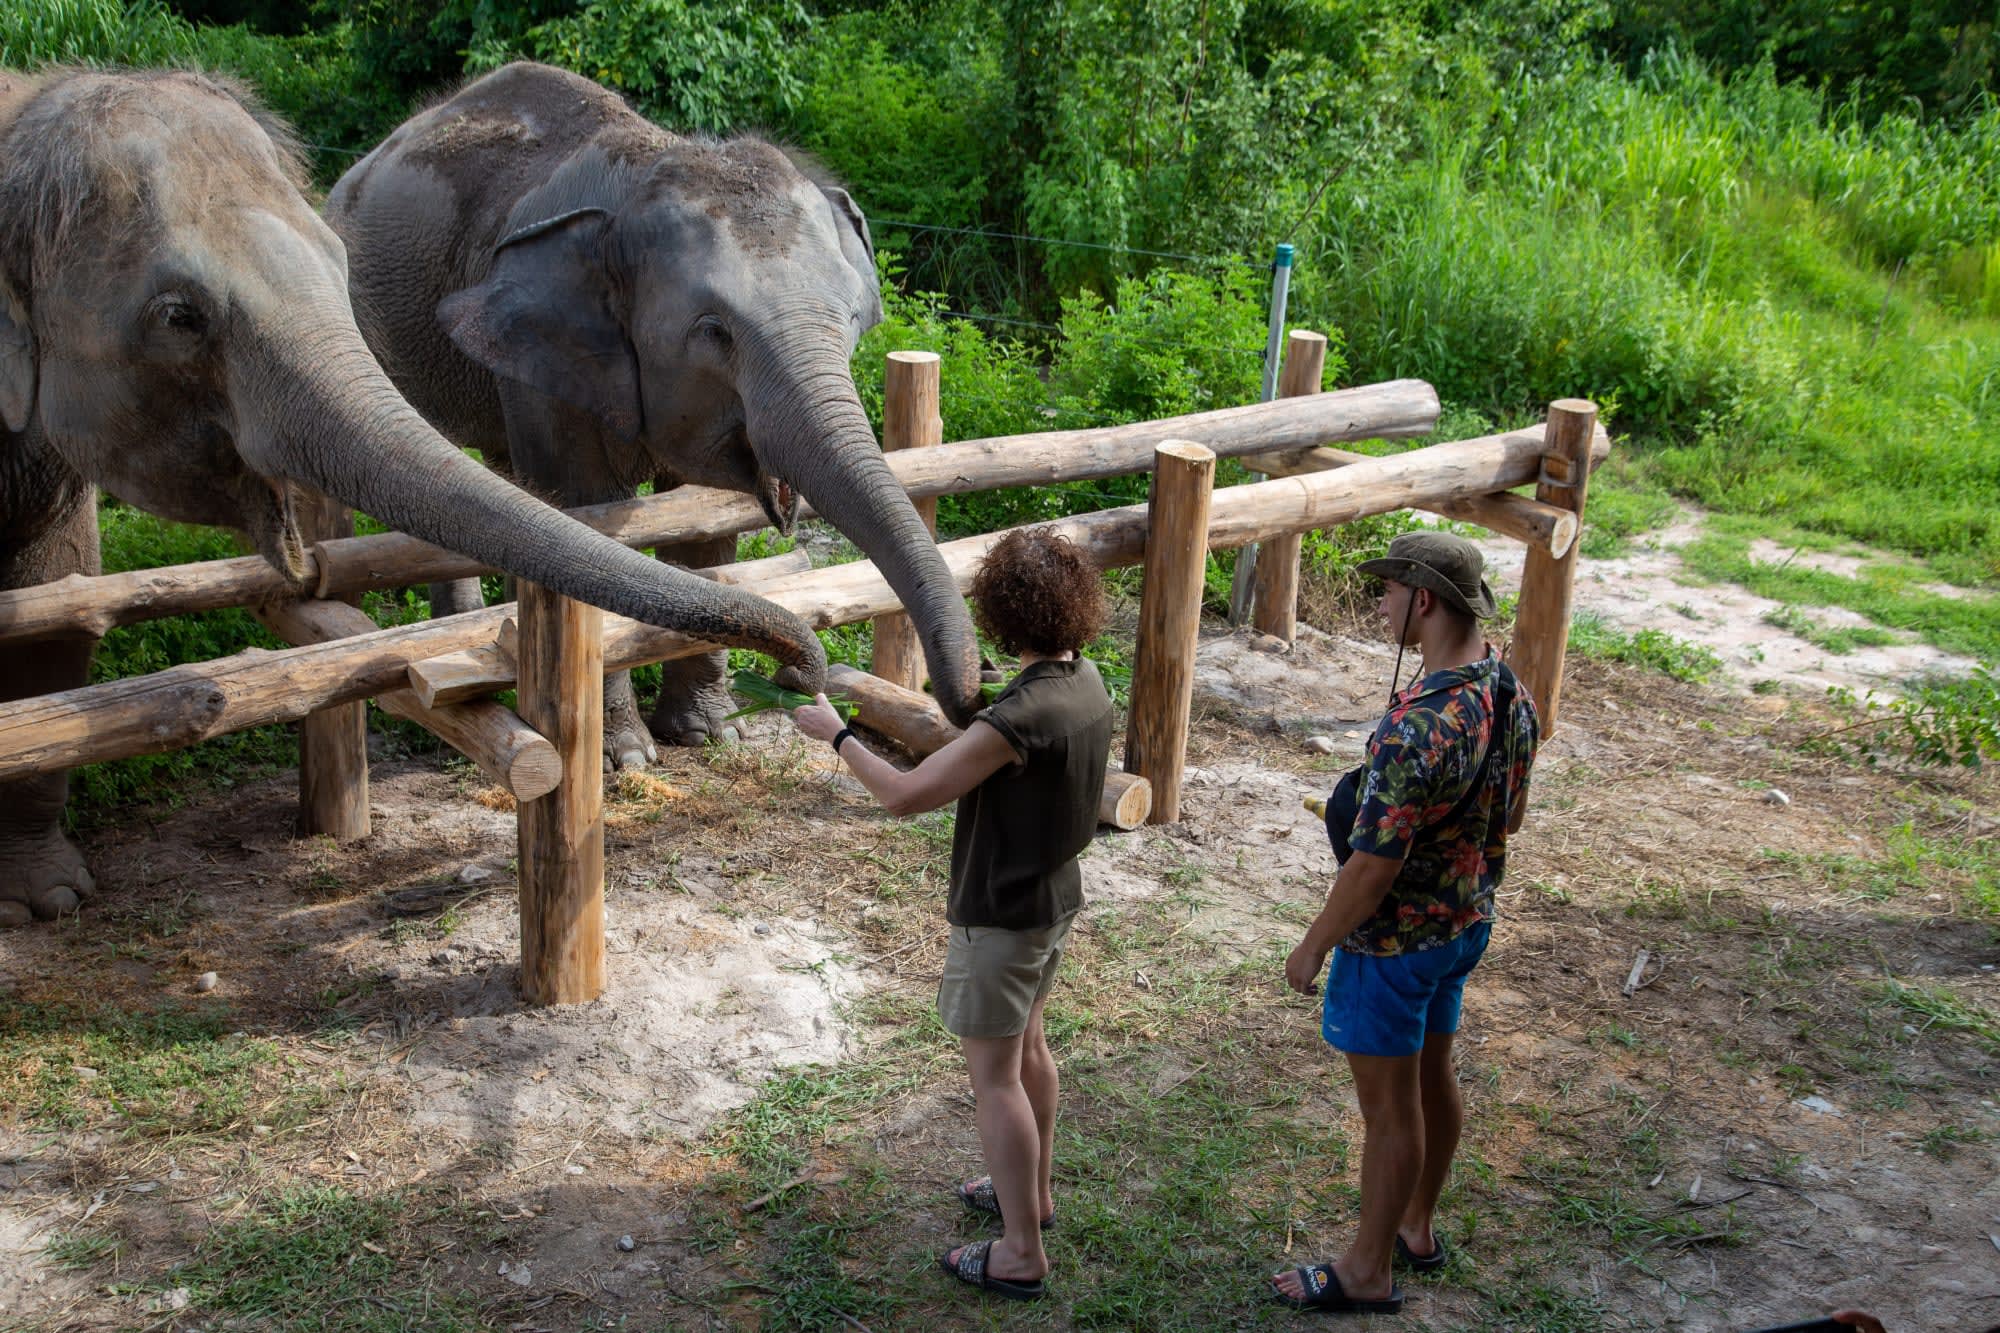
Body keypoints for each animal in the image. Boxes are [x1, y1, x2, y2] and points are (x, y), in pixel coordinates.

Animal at [323, 61, 981, 766]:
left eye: (855, 319)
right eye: (714, 330)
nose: (976, 697)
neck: (646, 166)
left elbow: (703, 529)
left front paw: (710, 734)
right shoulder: (554, 354)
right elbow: (586, 514)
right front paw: (627, 757)